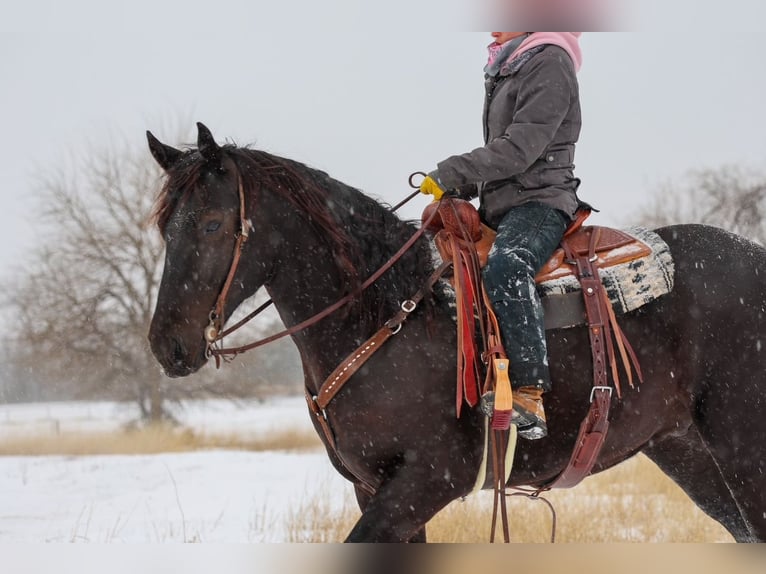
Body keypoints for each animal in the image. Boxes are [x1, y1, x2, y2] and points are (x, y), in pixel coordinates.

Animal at [146, 123, 766, 542]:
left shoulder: (427, 480)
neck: (386, 312)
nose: (166, 344)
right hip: (690, 455)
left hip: (743, 453)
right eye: (164, 227)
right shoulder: (372, 487)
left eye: (211, 223)